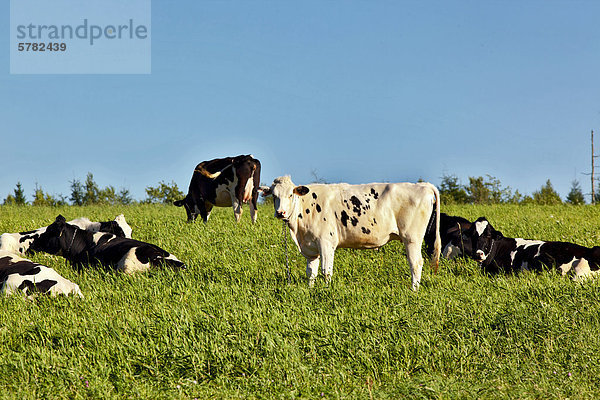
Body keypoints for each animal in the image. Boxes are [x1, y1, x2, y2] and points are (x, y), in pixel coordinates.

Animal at [262, 175, 440, 290]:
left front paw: (326, 291)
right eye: (274, 196)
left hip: (412, 238)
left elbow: (326, 271)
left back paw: (414, 290)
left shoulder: (326, 242)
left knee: (415, 263)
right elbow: (311, 272)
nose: (280, 213)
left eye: (290, 194)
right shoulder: (310, 248)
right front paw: (310, 290)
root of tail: (423, 185)